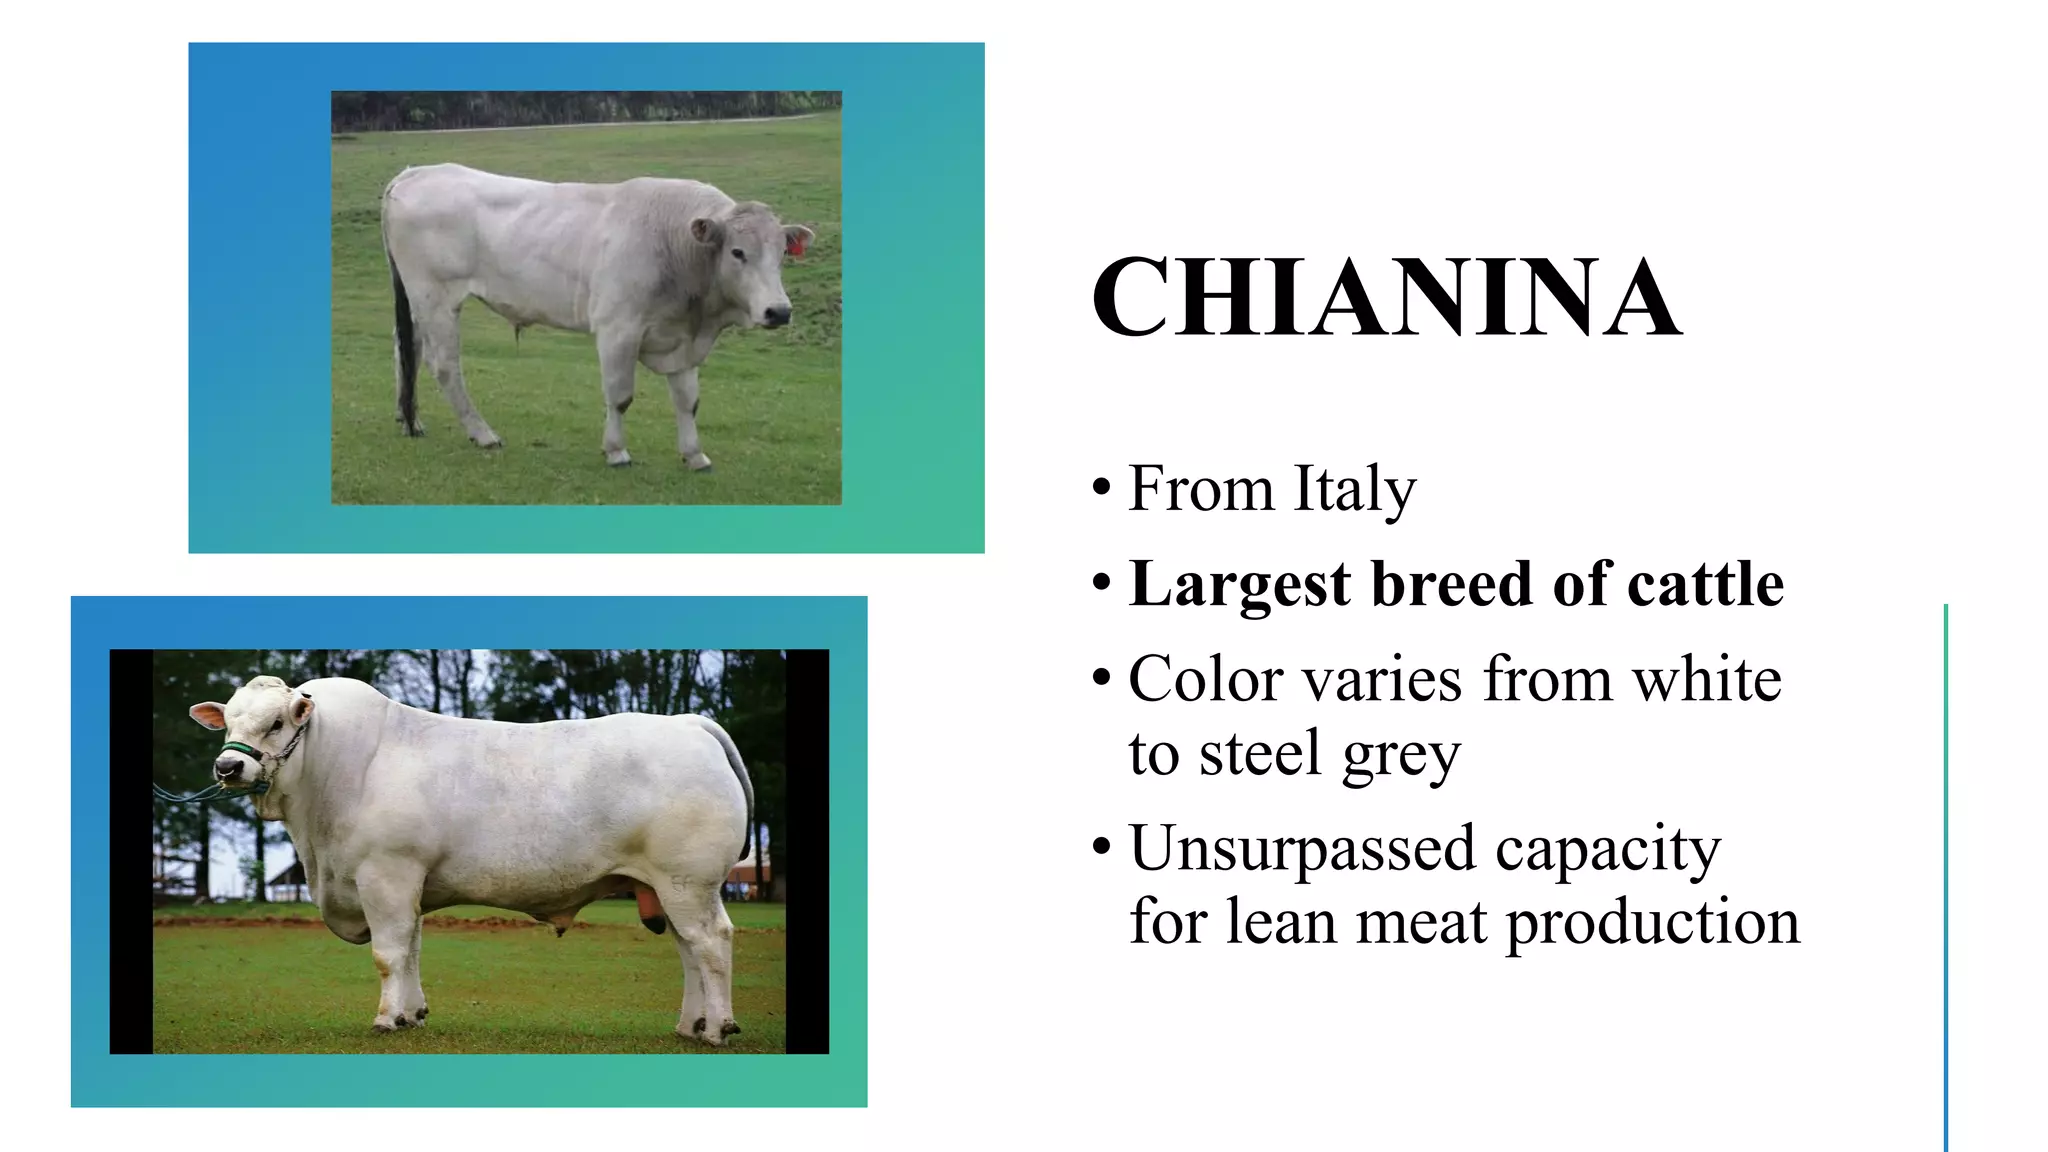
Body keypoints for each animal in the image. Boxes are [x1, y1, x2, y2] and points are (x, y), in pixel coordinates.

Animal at [187, 675, 756, 1043]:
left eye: (275, 722)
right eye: (228, 723)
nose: (228, 766)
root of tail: (689, 724)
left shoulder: (385, 874)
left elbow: (388, 953)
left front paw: (385, 1019)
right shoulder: (409, 882)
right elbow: (412, 950)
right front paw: (412, 1015)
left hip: (689, 882)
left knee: (710, 943)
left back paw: (718, 1028)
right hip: (664, 887)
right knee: (687, 949)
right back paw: (689, 1026)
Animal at [380, 163, 816, 470]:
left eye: (781, 252)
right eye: (737, 252)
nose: (779, 311)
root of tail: (416, 172)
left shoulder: (681, 340)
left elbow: (687, 401)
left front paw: (695, 455)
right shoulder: (617, 330)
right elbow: (620, 397)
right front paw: (616, 451)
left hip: (417, 300)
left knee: (408, 349)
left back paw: (409, 420)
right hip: (436, 296)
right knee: (444, 365)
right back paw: (482, 433)